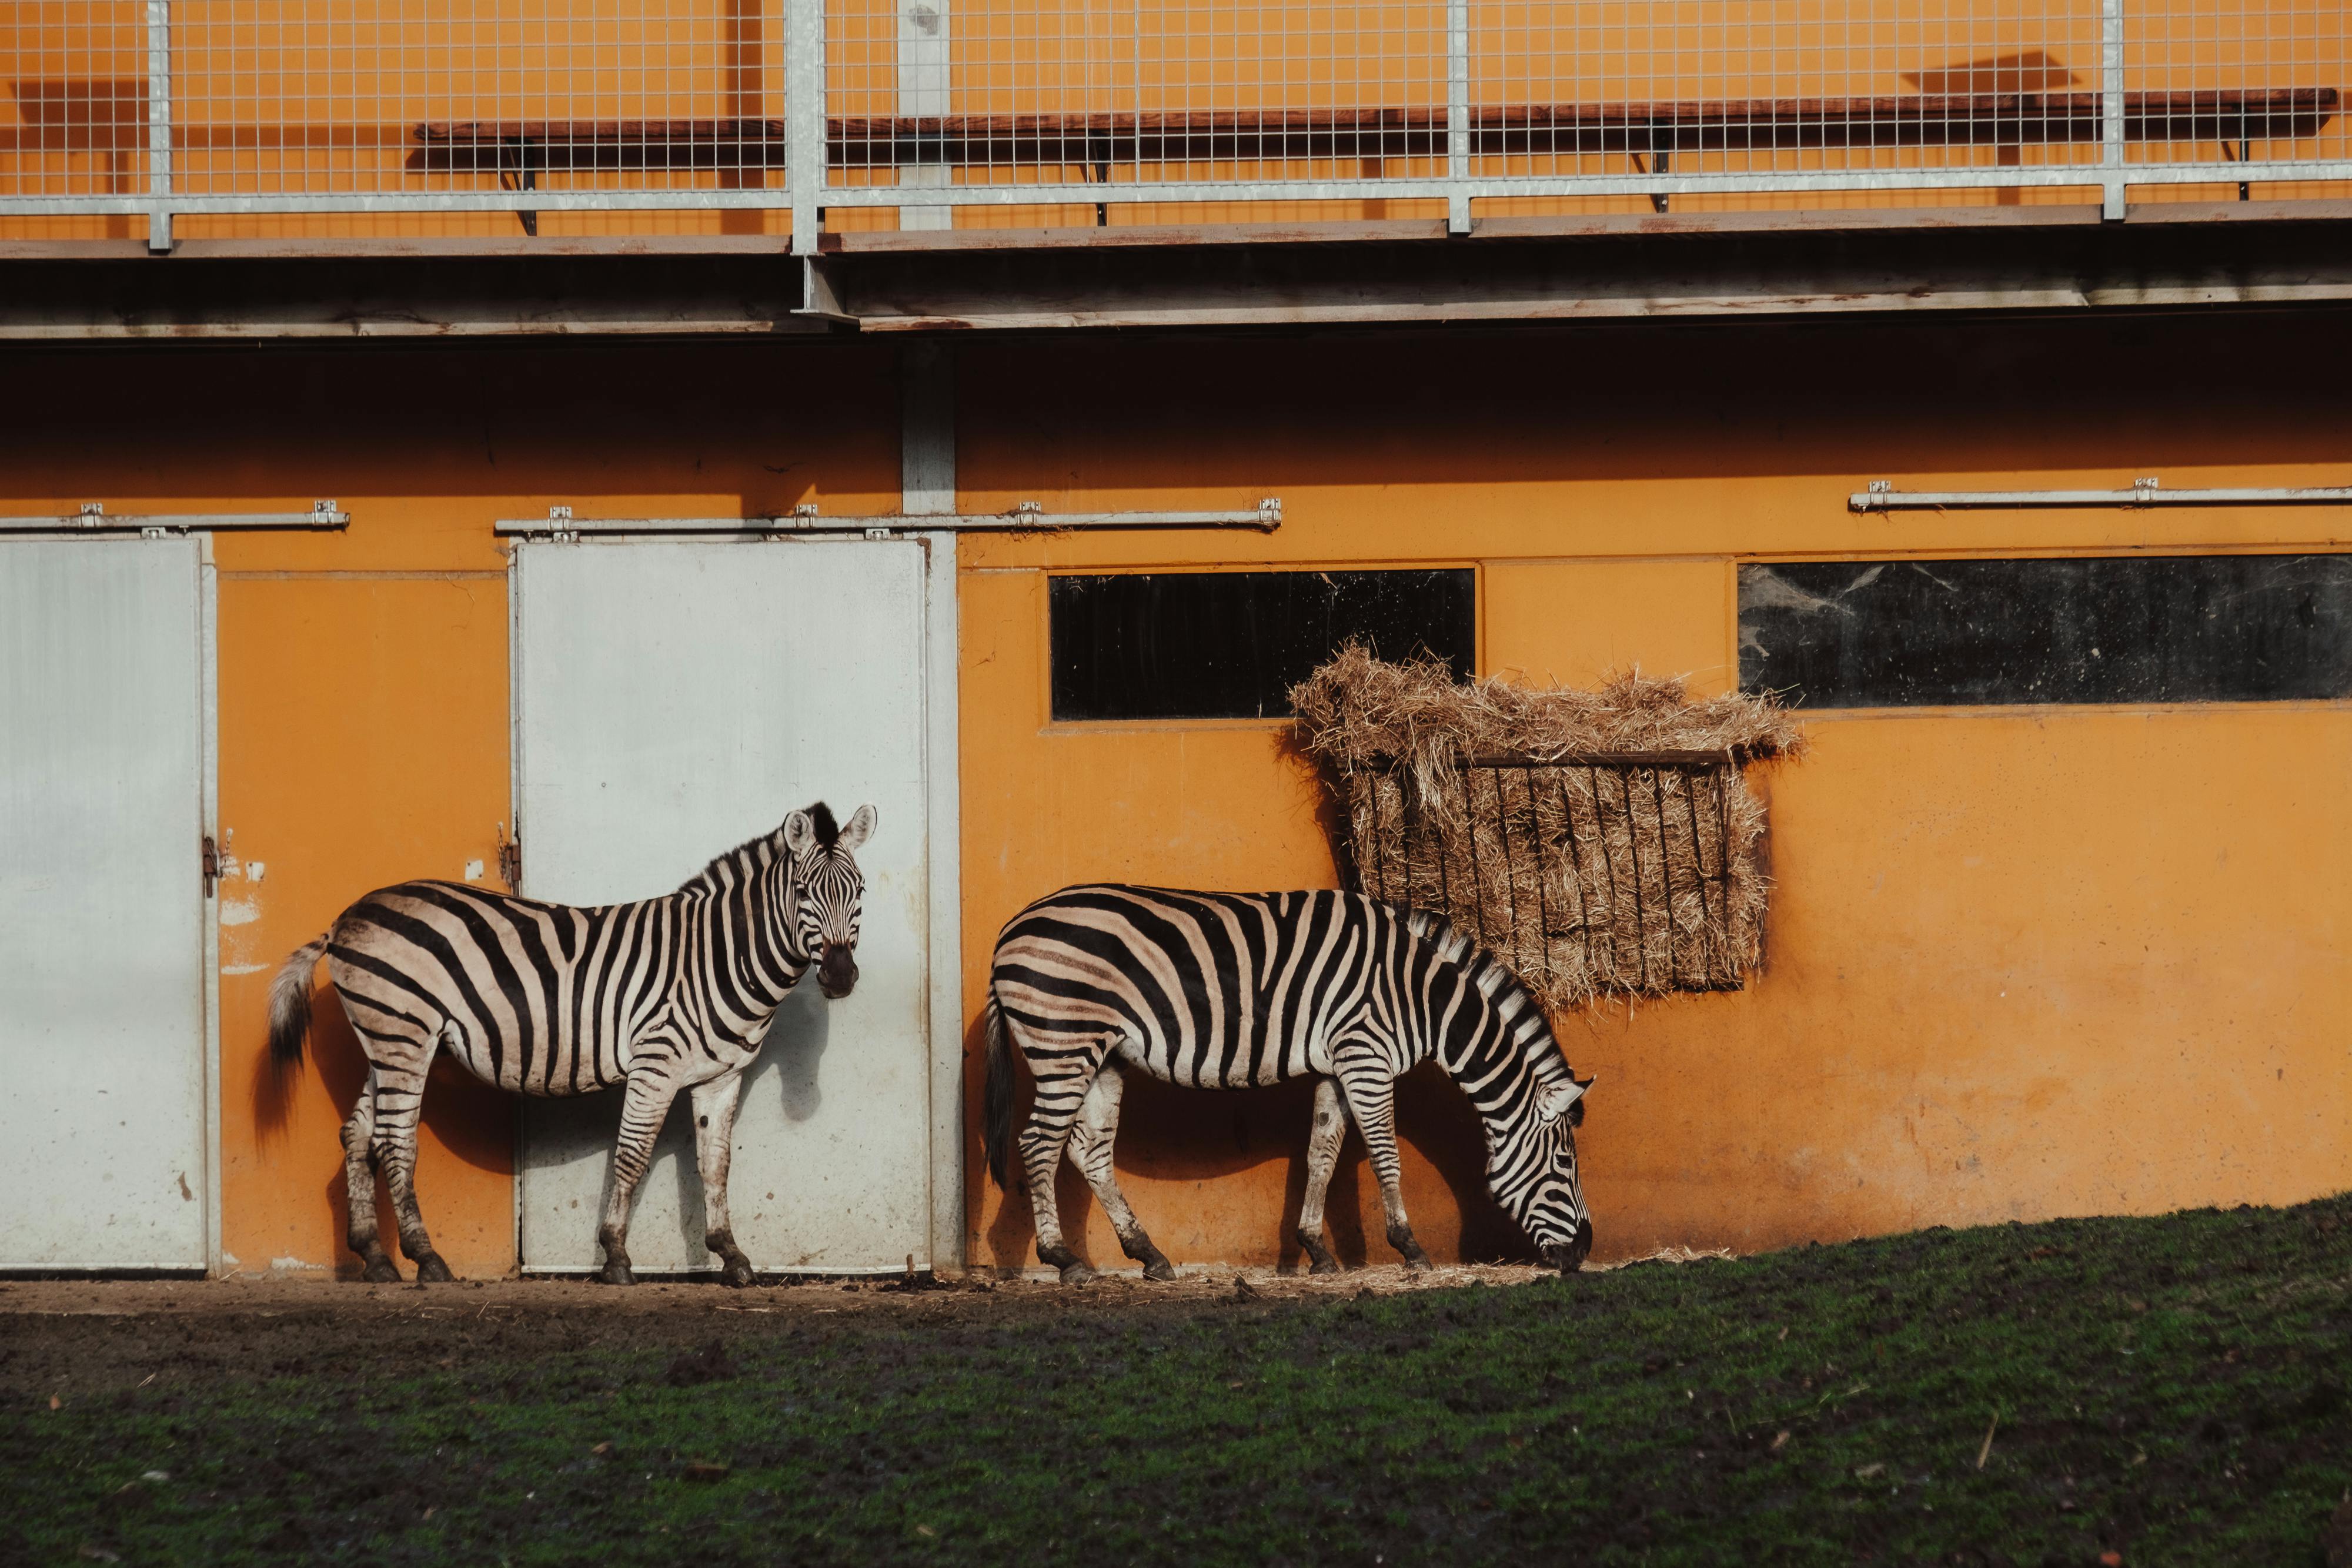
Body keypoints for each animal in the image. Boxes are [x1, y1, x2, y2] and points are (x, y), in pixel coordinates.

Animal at [266, 801, 876, 1287]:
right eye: (803, 892)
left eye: (861, 892)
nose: (841, 977)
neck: (720, 954)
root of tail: (346, 917)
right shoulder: (657, 1062)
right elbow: (632, 1155)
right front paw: (616, 1257)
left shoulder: (721, 1076)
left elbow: (716, 1164)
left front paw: (731, 1255)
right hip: (405, 1035)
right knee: (395, 1140)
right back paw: (427, 1259)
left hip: (387, 1039)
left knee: (358, 1134)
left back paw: (375, 1258)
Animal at [982, 885, 1594, 1283]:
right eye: (1566, 1163)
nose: (1585, 1252)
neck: (1422, 997)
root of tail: (1009, 930)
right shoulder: (1366, 1054)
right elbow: (1384, 1155)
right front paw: (1410, 1248)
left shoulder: (1338, 1065)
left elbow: (1322, 1151)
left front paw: (1317, 1250)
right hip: (1063, 1042)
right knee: (1038, 1144)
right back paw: (1064, 1260)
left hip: (1101, 1055)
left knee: (1090, 1150)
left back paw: (1148, 1255)